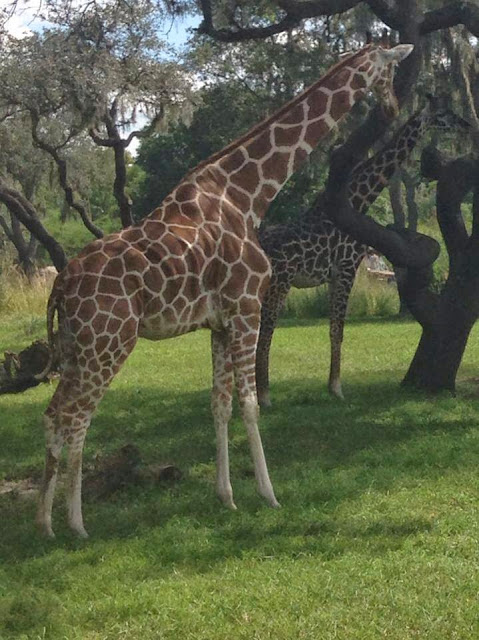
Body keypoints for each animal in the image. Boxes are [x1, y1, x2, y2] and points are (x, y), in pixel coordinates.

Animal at [35, 42, 414, 536]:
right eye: (389, 70)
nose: (393, 107)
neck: (247, 194)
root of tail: (60, 283)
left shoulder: (217, 324)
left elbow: (218, 404)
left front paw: (226, 497)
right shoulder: (246, 308)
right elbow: (250, 403)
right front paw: (269, 494)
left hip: (75, 344)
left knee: (53, 413)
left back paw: (45, 522)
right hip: (109, 341)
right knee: (77, 416)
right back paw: (77, 524)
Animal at [256, 94, 470, 404]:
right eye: (443, 114)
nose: (466, 124)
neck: (357, 200)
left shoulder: (335, 275)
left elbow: (333, 329)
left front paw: (331, 387)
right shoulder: (347, 267)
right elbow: (338, 330)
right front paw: (337, 388)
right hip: (279, 282)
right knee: (265, 330)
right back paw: (263, 396)